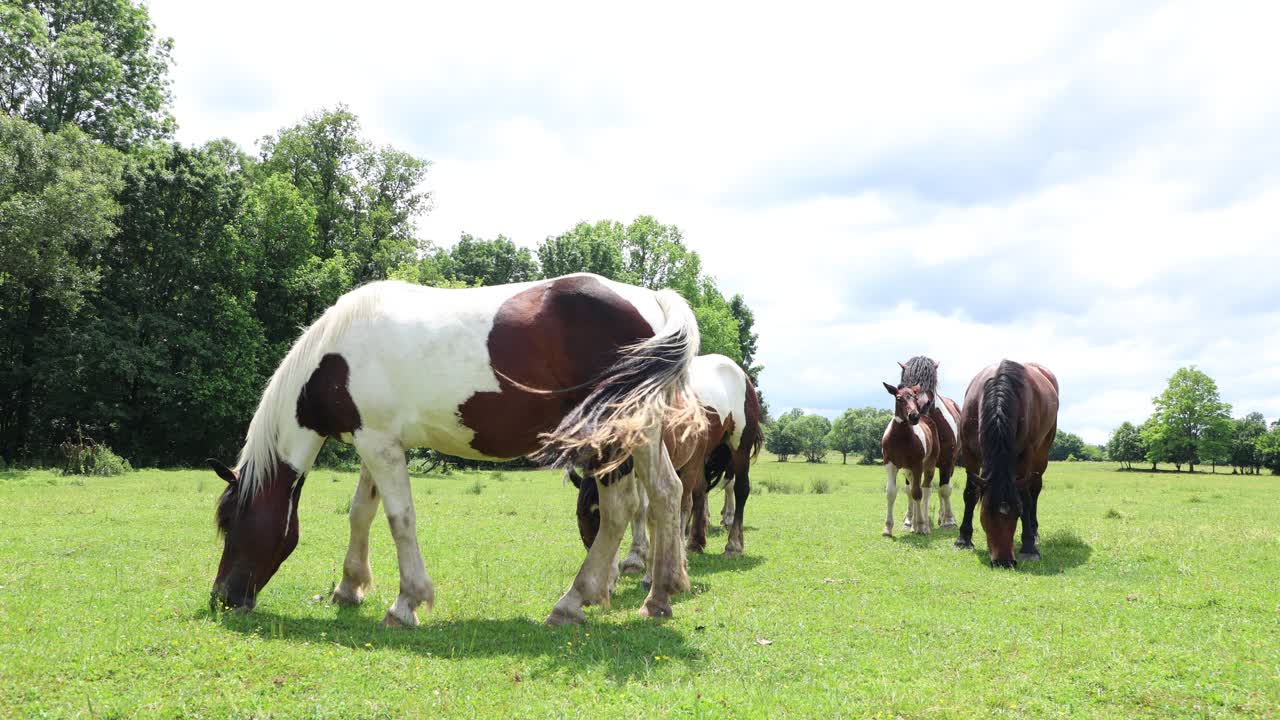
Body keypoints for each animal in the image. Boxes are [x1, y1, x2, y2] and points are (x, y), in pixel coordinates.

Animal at [204, 273, 707, 627]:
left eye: (232, 522)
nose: (222, 599)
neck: (334, 359)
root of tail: (650, 301)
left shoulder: (381, 447)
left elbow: (399, 519)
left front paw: (406, 602)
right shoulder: (375, 441)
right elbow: (361, 513)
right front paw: (349, 588)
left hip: (612, 437)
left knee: (621, 509)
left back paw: (573, 602)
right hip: (643, 434)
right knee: (665, 494)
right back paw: (659, 596)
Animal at [572, 354, 763, 574]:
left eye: (598, 514)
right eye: (579, 515)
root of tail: (741, 373)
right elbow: (639, 509)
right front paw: (636, 557)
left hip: (738, 448)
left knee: (739, 489)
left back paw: (733, 544)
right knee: (700, 491)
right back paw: (695, 542)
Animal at [897, 358, 962, 530]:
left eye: (931, 380)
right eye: (907, 381)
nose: (922, 403)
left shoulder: (947, 462)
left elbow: (944, 490)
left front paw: (949, 521)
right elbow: (910, 490)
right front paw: (909, 521)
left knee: (943, 488)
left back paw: (943, 517)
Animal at [954, 360, 1059, 567]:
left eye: (1017, 512)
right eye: (985, 512)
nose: (1004, 562)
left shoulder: (1027, 454)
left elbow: (1026, 498)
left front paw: (1028, 547)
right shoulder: (969, 453)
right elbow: (970, 493)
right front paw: (963, 539)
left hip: (1042, 454)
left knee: (1035, 490)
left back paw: (1034, 531)